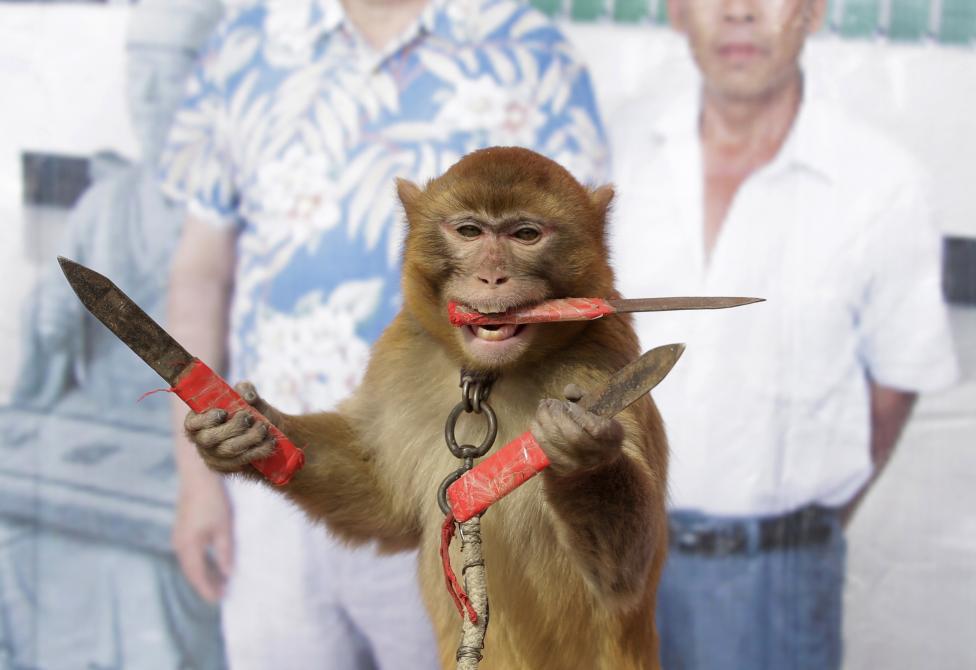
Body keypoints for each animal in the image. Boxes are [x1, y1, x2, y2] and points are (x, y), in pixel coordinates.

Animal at [185, 148, 672, 670]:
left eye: (525, 235)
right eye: (470, 232)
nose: (492, 275)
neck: (493, 376)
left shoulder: (602, 360)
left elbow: (622, 577)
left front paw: (582, 456)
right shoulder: (401, 353)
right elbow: (382, 498)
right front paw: (239, 430)